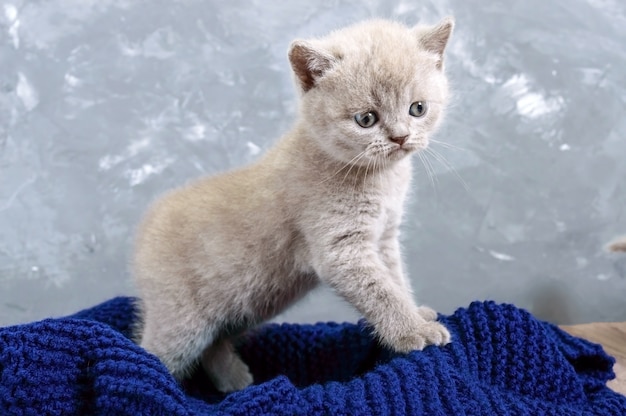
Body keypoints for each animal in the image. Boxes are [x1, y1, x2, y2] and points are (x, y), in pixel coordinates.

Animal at [133, 17, 454, 394]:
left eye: (418, 108)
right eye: (366, 119)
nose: (401, 137)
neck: (381, 180)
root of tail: (147, 225)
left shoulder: (384, 238)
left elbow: (396, 279)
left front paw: (416, 313)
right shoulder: (341, 250)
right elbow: (381, 292)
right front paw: (413, 331)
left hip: (247, 306)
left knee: (213, 344)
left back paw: (236, 380)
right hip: (182, 322)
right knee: (153, 353)